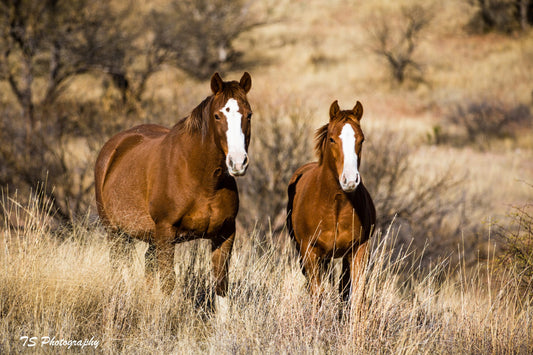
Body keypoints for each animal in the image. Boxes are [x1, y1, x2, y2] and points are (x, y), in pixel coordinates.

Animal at [94, 71, 252, 298]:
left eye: (249, 115)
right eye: (217, 116)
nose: (238, 162)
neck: (203, 181)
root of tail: (114, 145)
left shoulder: (225, 233)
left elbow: (221, 285)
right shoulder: (166, 233)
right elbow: (169, 284)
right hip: (116, 233)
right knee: (118, 269)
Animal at [286, 100, 374, 306]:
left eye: (361, 140)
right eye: (332, 139)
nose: (350, 180)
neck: (336, 206)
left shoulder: (358, 250)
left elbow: (356, 294)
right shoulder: (310, 252)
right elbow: (317, 294)